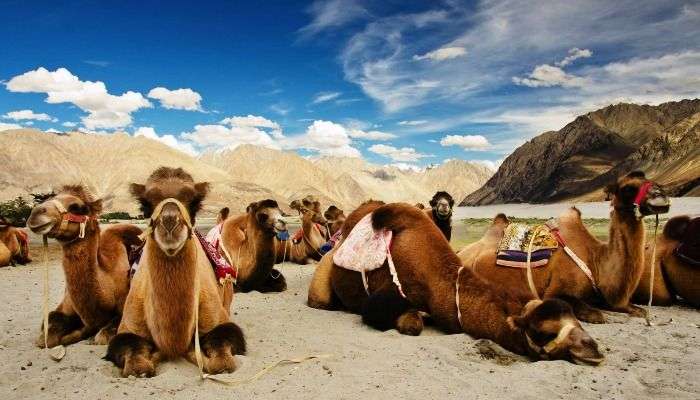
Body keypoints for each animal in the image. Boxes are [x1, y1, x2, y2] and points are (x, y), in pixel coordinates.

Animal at [26, 187, 142, 346]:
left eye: (77, 208)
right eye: (50, 197)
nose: (35, 213)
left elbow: (101, 336)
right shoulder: (65, 305)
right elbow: (46, 335)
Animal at [104, 167, 246, 376]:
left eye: (194, 202)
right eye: (145, 204)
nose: (170, 222)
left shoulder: (218, 320)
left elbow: (222, 362)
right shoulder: (129, 327)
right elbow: (134, 361)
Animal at [308, 202, 604, 364]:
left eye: (577, 322)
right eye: (544, 332)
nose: (593, 347)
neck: (440, 282)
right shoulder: (381, 299)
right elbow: (411, 324)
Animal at [456, 170, 668, 324]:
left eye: (650, 180)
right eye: (627, 188)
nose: (661, 195)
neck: (595, 260)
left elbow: (639, 311)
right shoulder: (557, 291)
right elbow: (596, 315)